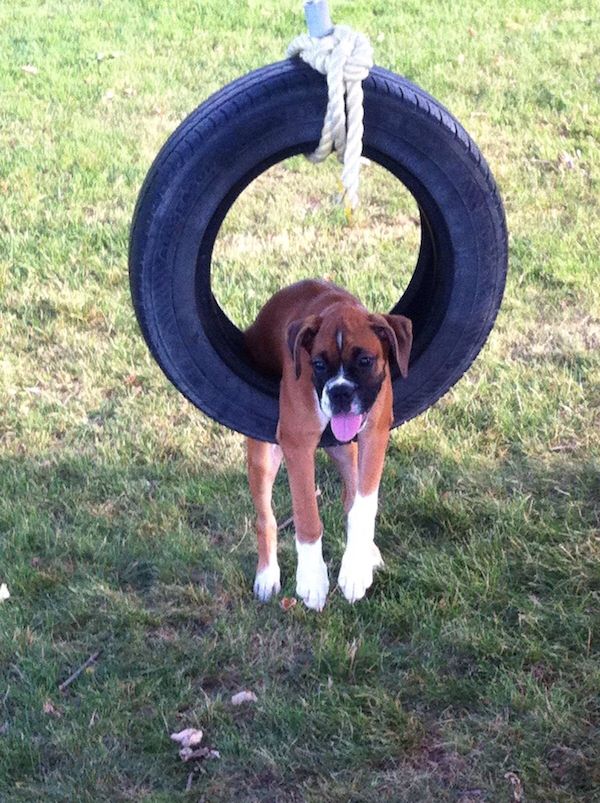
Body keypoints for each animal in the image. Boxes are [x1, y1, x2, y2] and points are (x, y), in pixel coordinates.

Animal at [244, 280, 412, 612]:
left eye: (364, 361)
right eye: (318, 365)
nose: (340, 393)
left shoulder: (374, 435)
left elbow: (362, 505)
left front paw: (355, 569)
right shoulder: (297, 444)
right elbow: (308, 518)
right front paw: (312, 580)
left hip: (347, 451)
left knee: (350, 496)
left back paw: (367, 552)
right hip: (263, 458)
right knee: (265, 519)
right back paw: (267, 576)